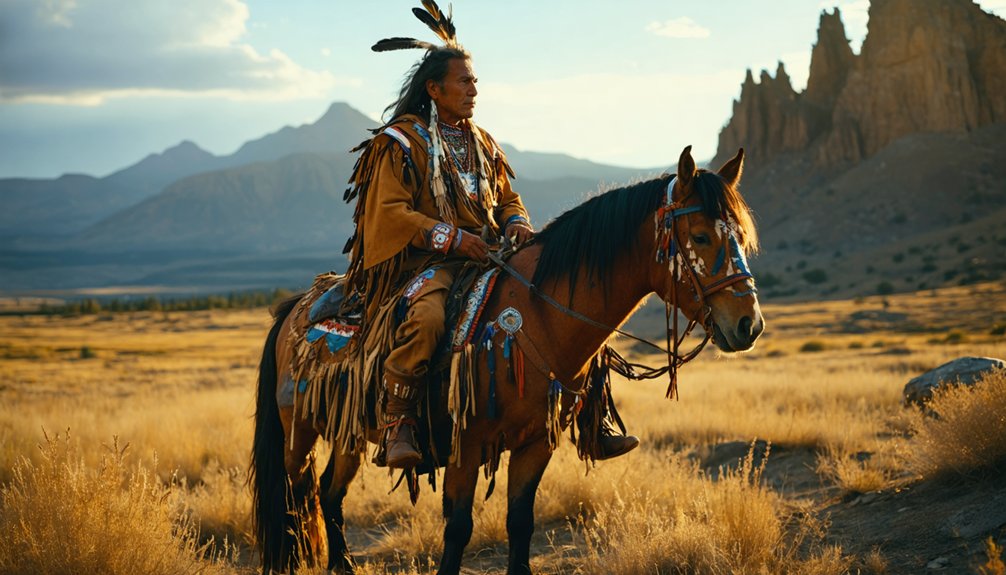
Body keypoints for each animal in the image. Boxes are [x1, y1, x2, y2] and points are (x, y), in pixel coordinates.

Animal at [250, 145, 764, 575]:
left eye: (742, 237)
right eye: (700, 236)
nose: (749, 324)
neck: (537, 315)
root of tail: (296, 306)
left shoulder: (536, 442)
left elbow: (521, 523)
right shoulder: (465, 444)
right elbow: (458, 529)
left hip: (349, 432)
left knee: (328, 493)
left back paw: (343, 567)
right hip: (298, 430)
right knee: (297, 495)